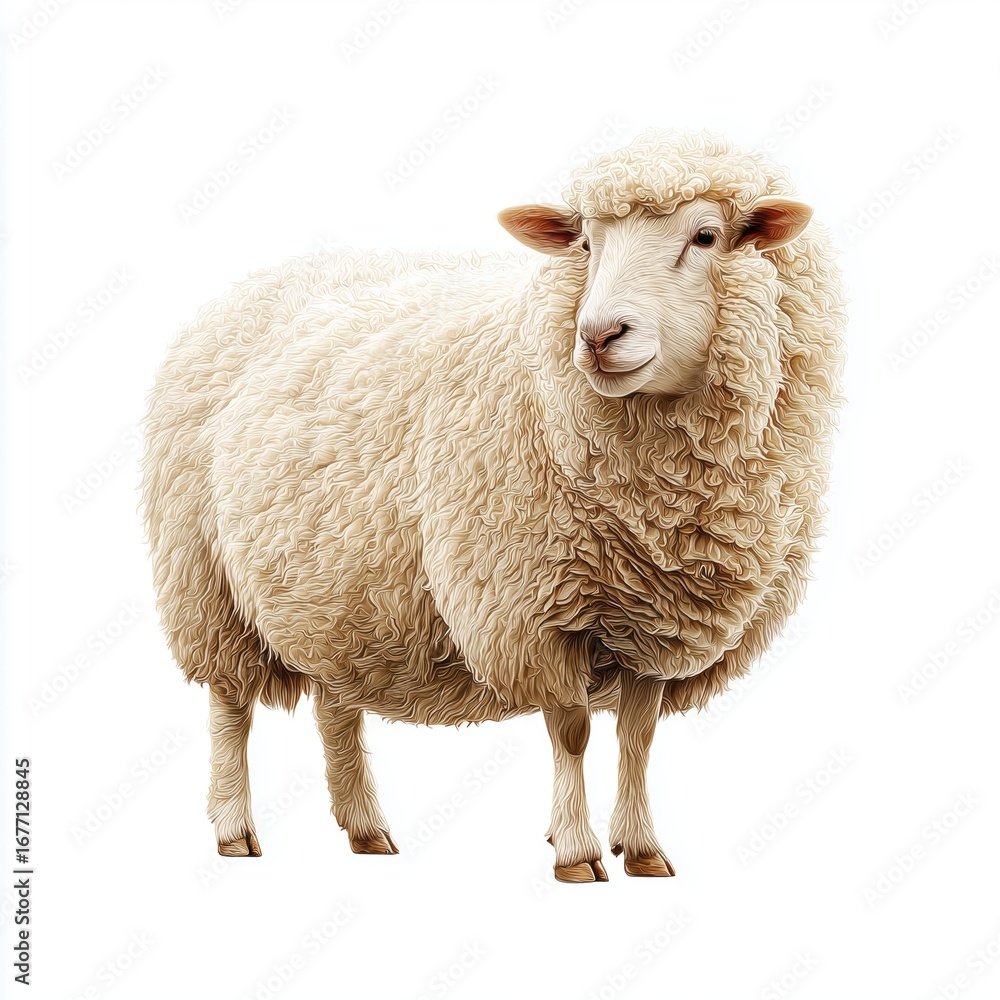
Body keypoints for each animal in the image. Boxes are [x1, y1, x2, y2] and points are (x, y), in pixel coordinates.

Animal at [142, 128, 846, 882]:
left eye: (706, 236)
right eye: (586, 243)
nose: (598, 335)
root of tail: (254, 284)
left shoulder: (654, 620)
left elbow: (638, 737)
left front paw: (643, 848)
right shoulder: (533, 610)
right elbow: (572, 732)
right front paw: (576, 853)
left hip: (340, 590)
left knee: (336, 706)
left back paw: (365, 829)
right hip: (206, 581)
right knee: (229, 708)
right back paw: (234, 829)